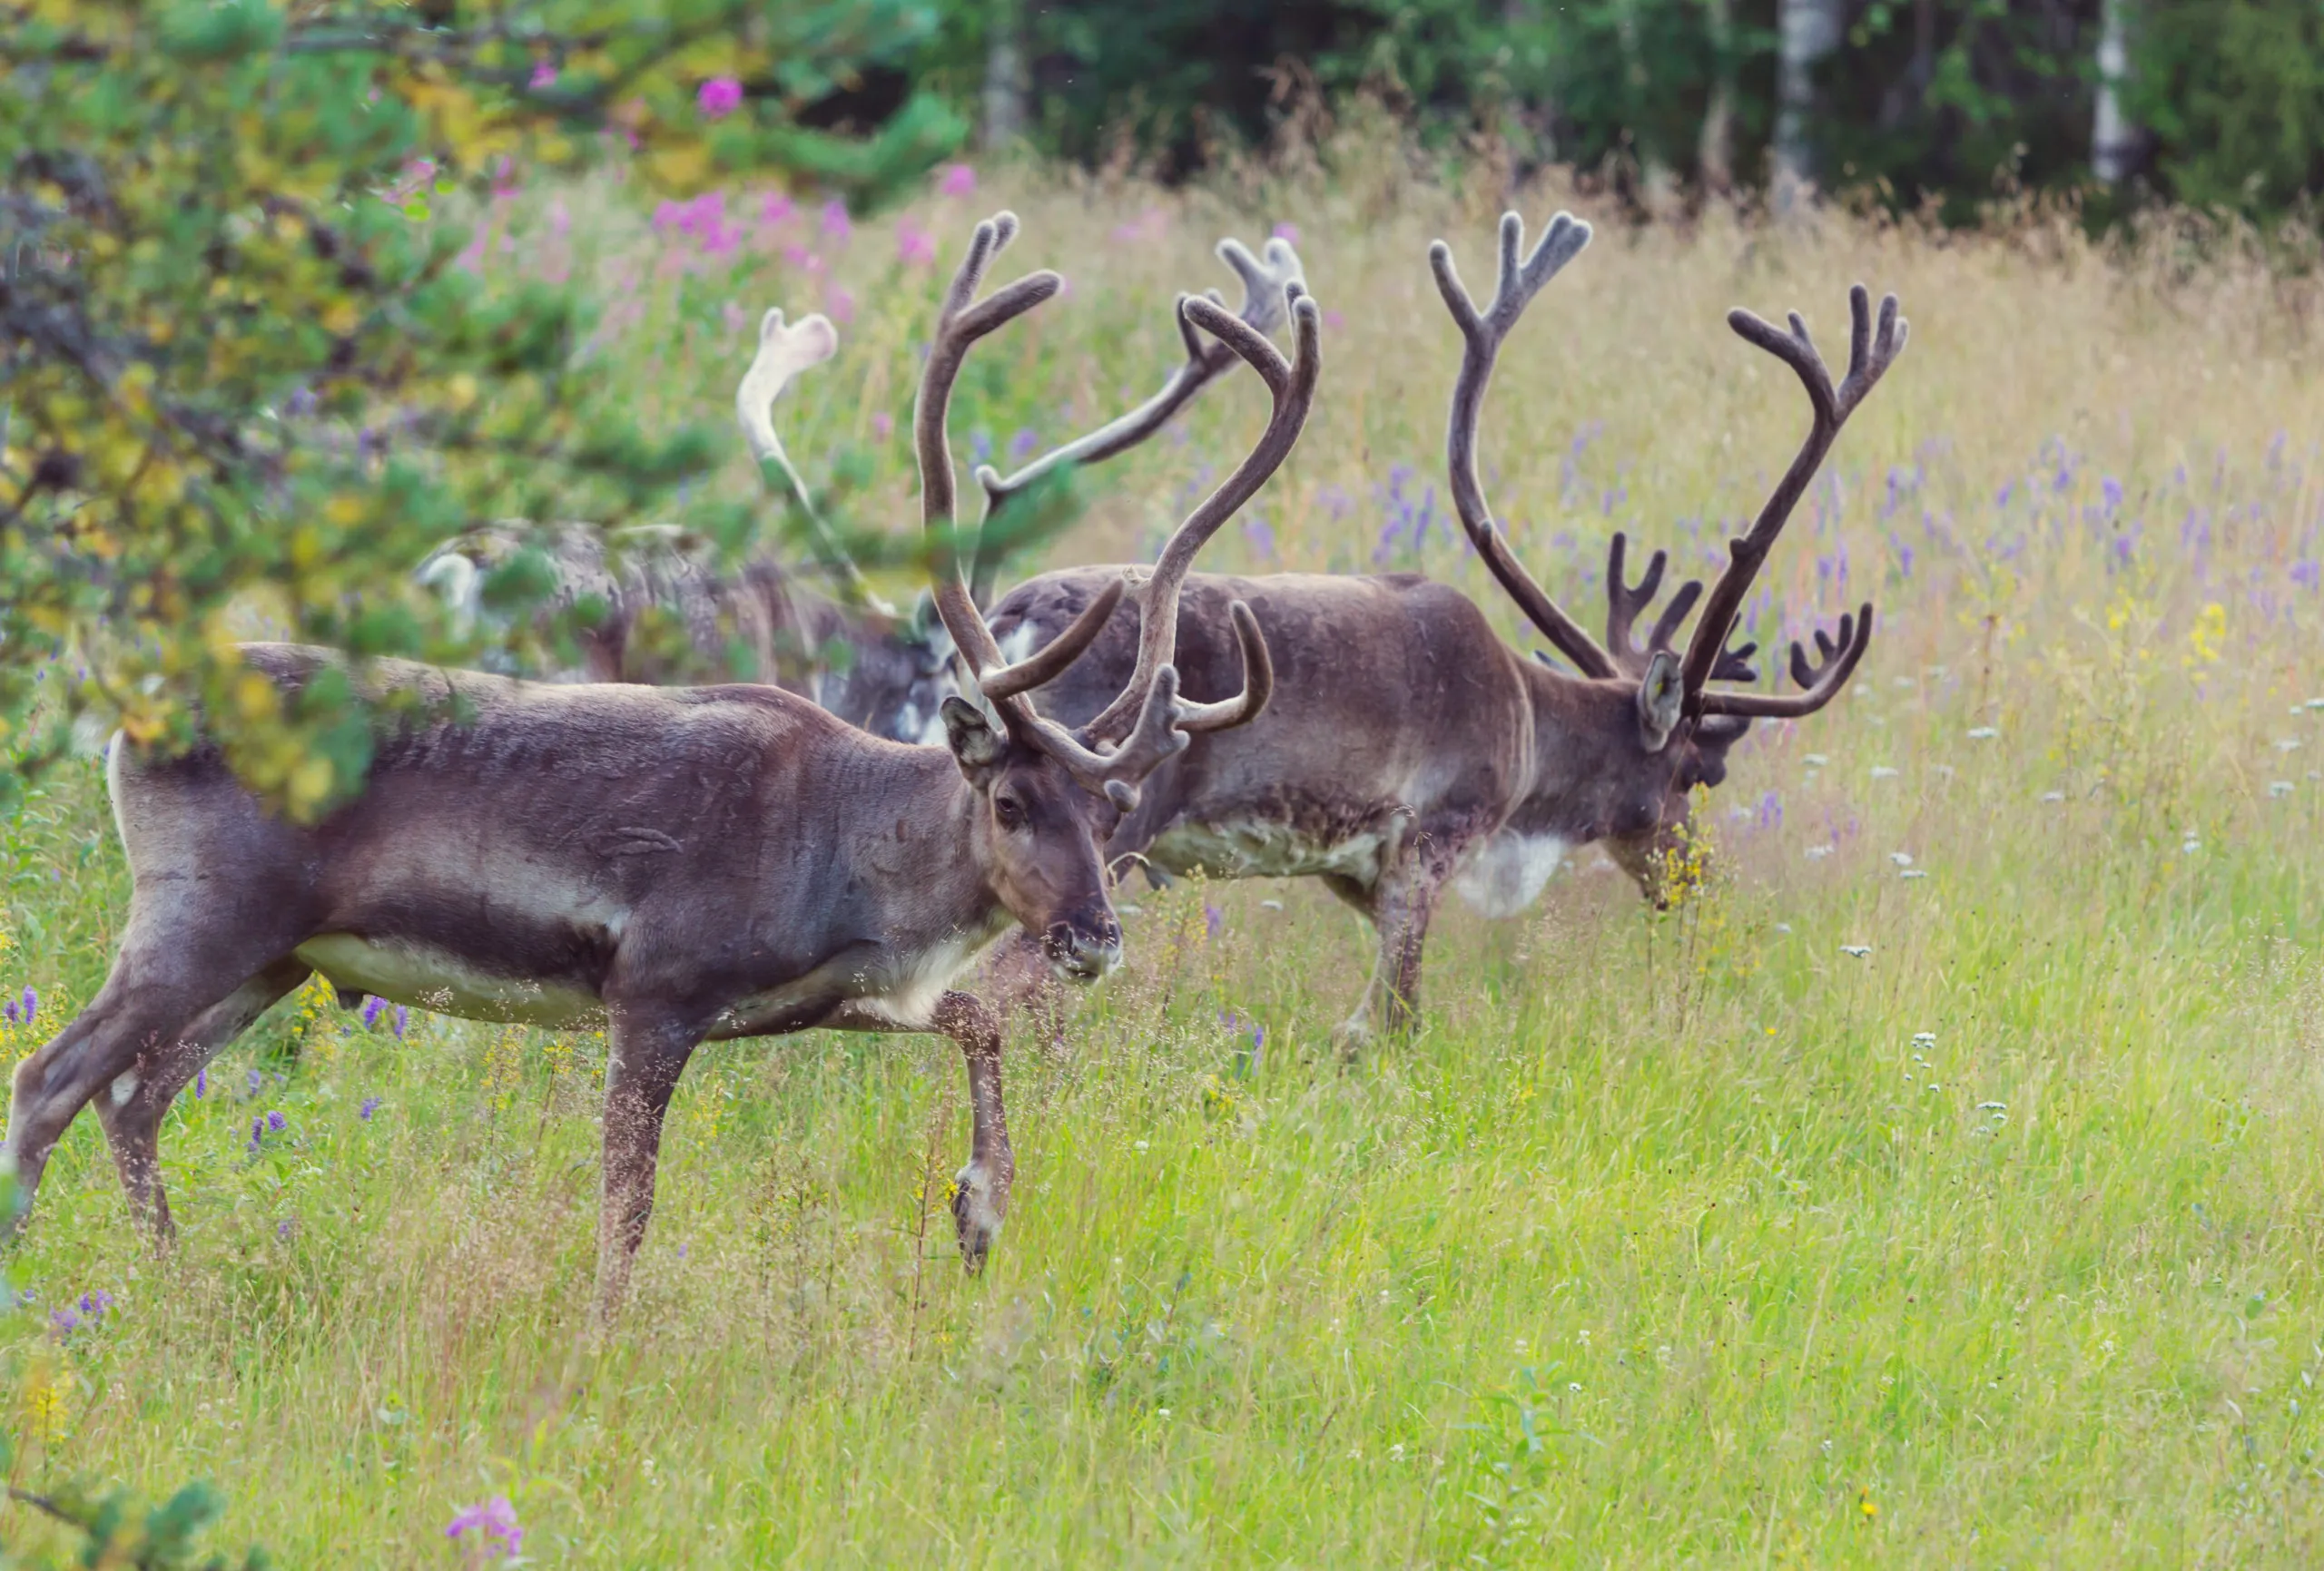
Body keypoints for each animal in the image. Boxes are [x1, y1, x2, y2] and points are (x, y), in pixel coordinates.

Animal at [976, 209, 1904, 1045]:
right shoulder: (1432, 842)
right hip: (1102, 825)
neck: (1528, 725)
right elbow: (1391, 1019)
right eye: (1690, 774)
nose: (1698, 880)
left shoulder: (1352, 869)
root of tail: (1010, 614)